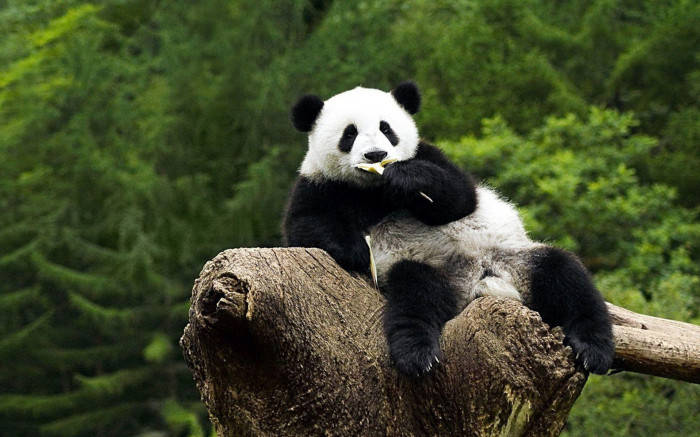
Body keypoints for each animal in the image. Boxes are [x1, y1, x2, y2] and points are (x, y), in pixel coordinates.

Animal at [282, 83, 616, 376]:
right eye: (349, 133)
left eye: (386, 129)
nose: (376, 155)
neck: (372, 189)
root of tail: (480, 280)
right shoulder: (319, 184)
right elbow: (305, 226)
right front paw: (357, 250)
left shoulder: (429, 155)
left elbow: (460, 197)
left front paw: (406, 178)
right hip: (431, 269)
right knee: (416, 295)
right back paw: (417, 354)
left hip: (515, 257)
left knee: (565, 276)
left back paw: (592, 349)